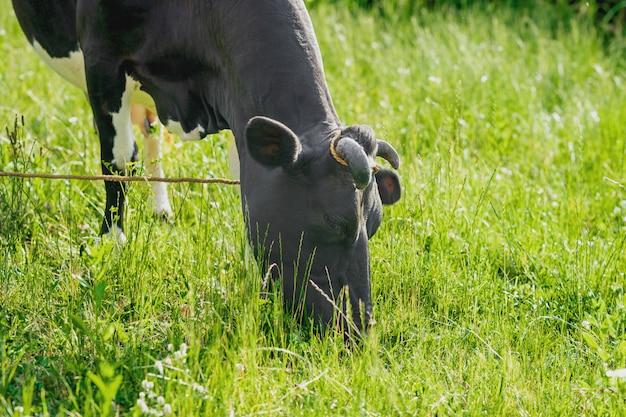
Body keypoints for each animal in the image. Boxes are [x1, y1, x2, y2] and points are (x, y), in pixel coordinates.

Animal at [12, 0, 402, 332]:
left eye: (374, 225)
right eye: (335, 223)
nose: (358, 329)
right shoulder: (102, 59)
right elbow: (118, 160)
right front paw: (112, 244)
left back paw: (162, 210)